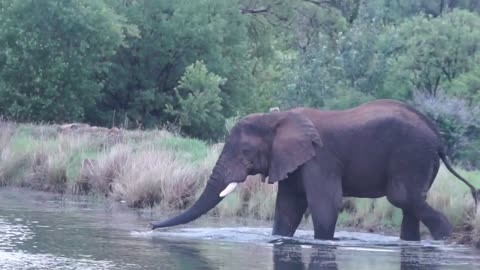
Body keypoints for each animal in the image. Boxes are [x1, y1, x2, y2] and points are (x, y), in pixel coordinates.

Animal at [152, 98, 478, 240]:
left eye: (245, 153)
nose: (151, 226)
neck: (279, 118)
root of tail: (438, 136)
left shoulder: (321, 159)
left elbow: (324, 203)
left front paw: (324, 241)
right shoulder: (292, 160)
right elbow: (287, 206)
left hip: (411, 155)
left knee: (402, 198)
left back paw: (443, 238)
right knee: (411, 205)